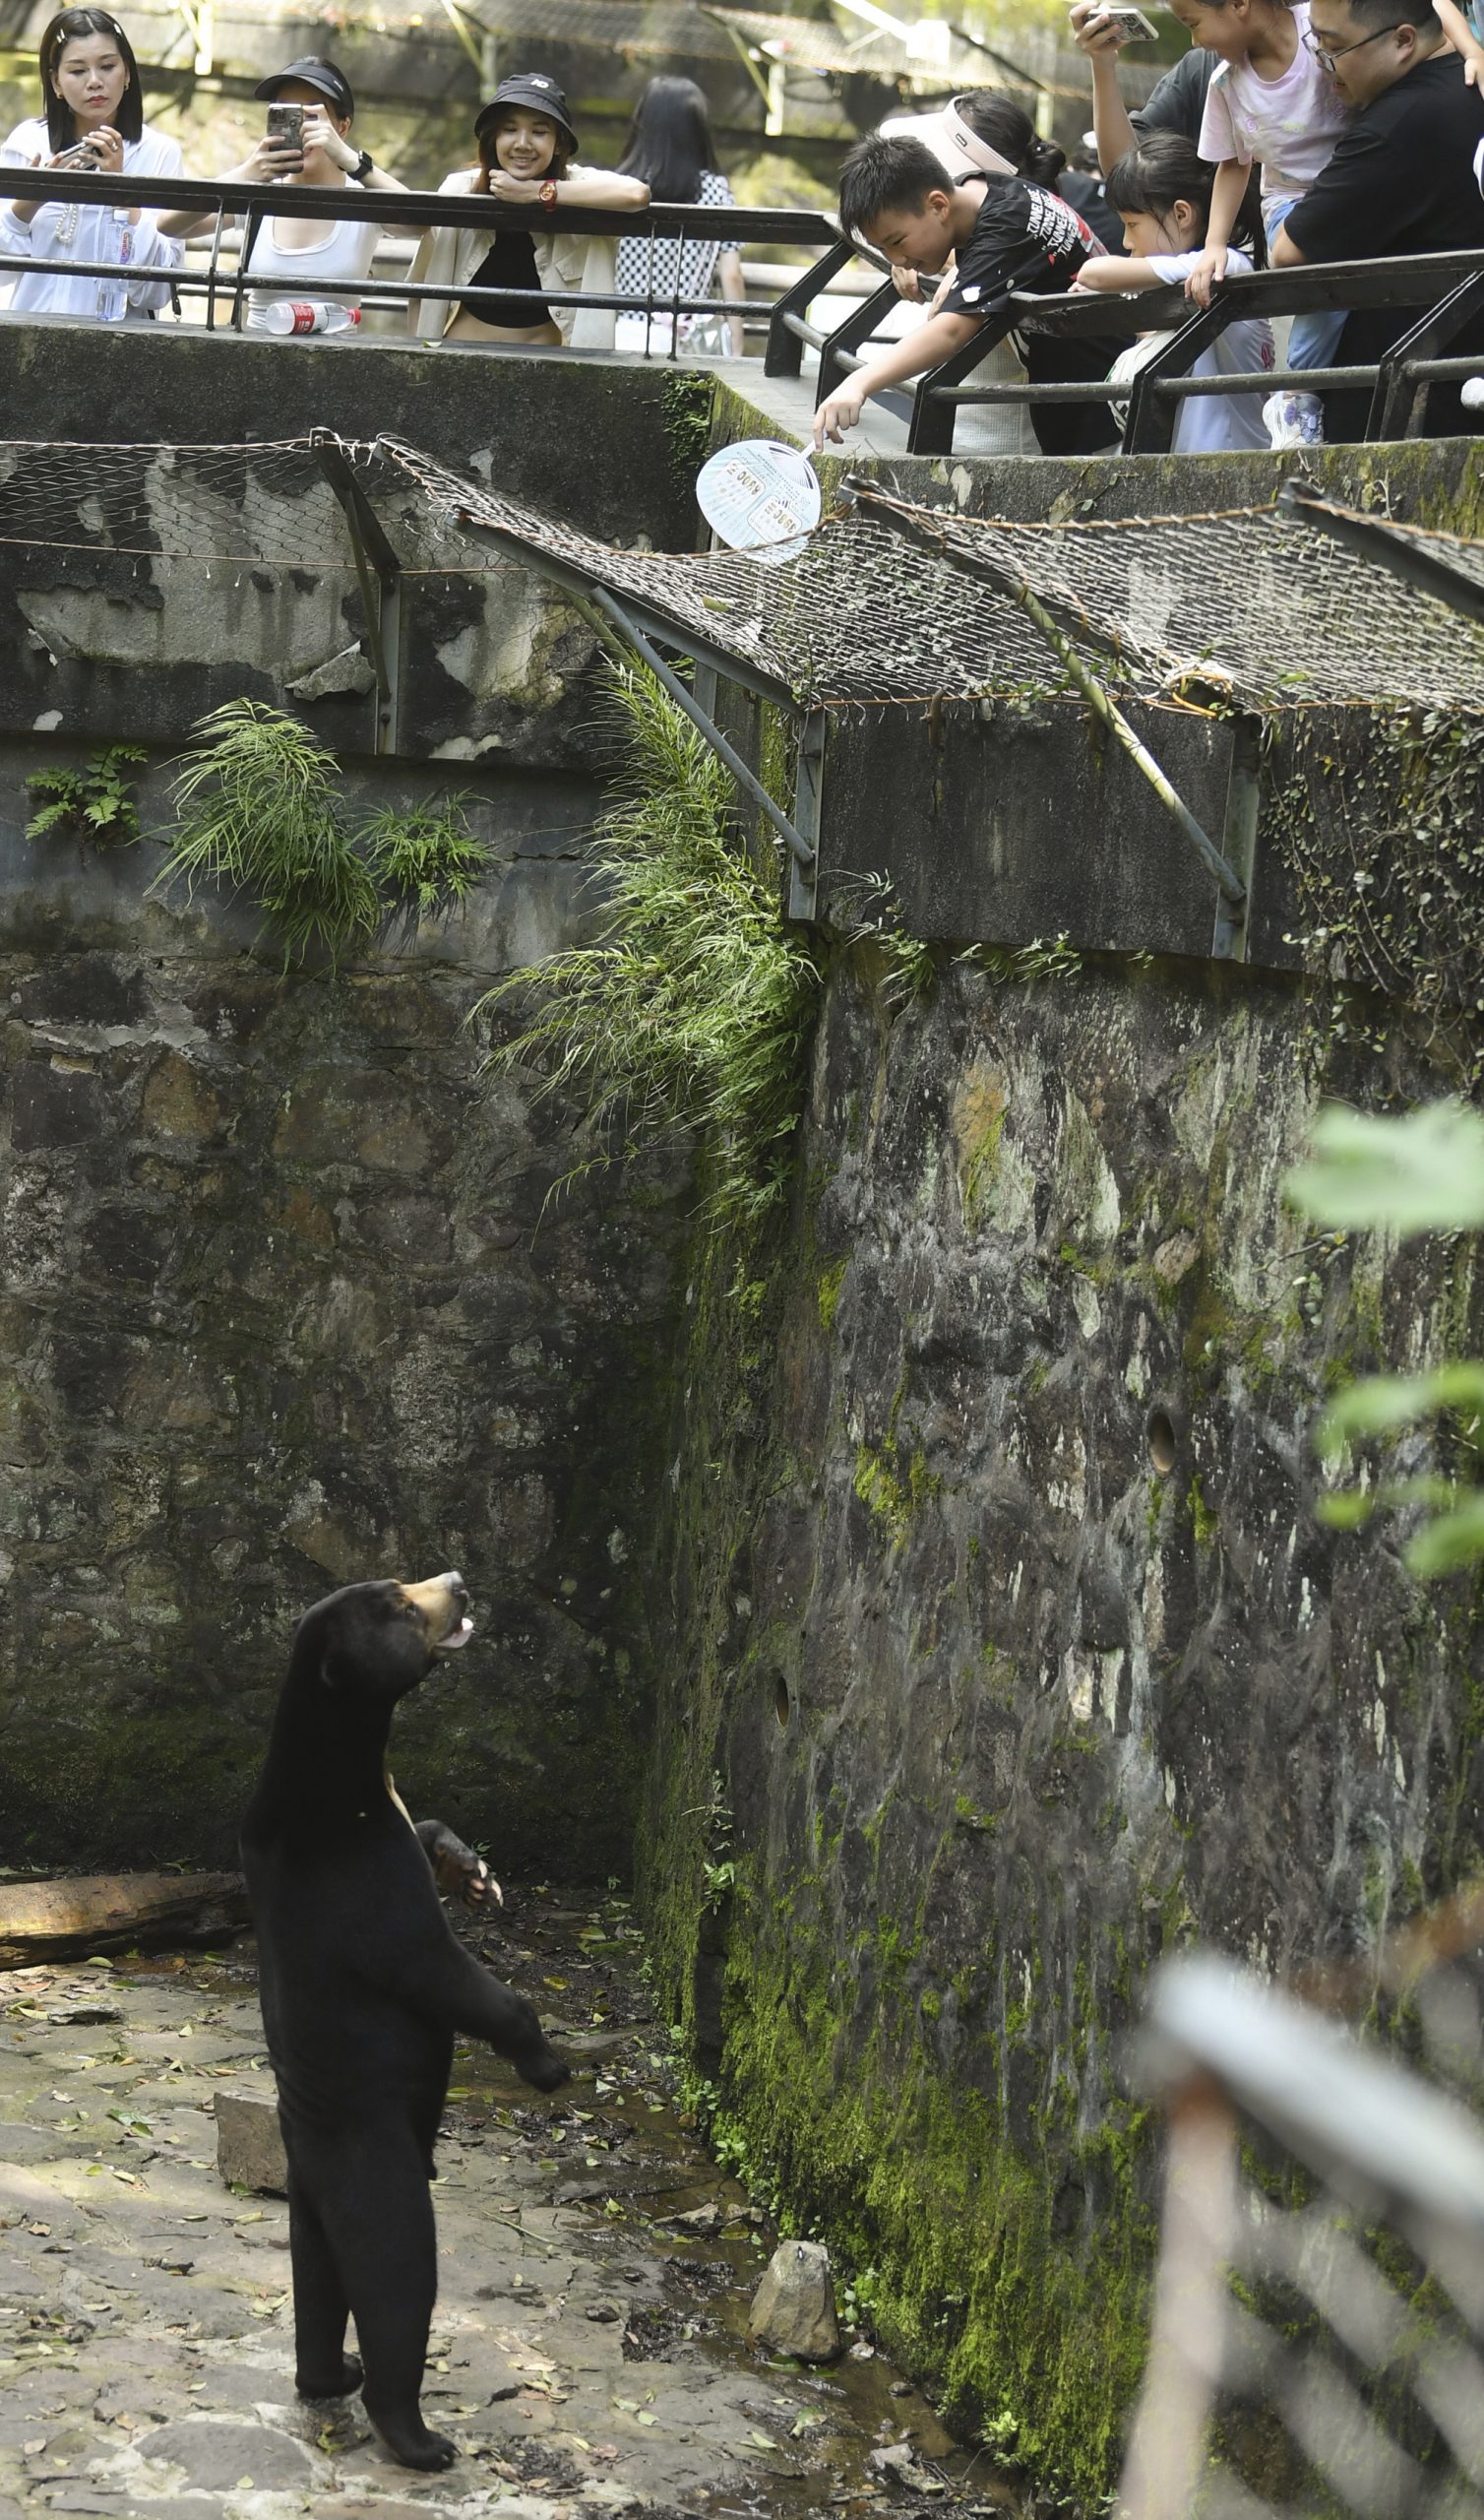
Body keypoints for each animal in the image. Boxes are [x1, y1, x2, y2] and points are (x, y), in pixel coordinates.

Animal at [240, 1571, 569, 2472]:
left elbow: (427, 1829)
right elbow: (440, 1972)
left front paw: (476, 1872)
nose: (456, 1580)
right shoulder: (360, 1882)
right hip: (375, 2169)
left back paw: (330, 2374)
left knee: (317, 2286)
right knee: (397, 2284)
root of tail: (311, 2164)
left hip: (309, 2204)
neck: (346, 1772)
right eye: (395, 1602)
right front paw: (547, 2063)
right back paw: (418, 2437)